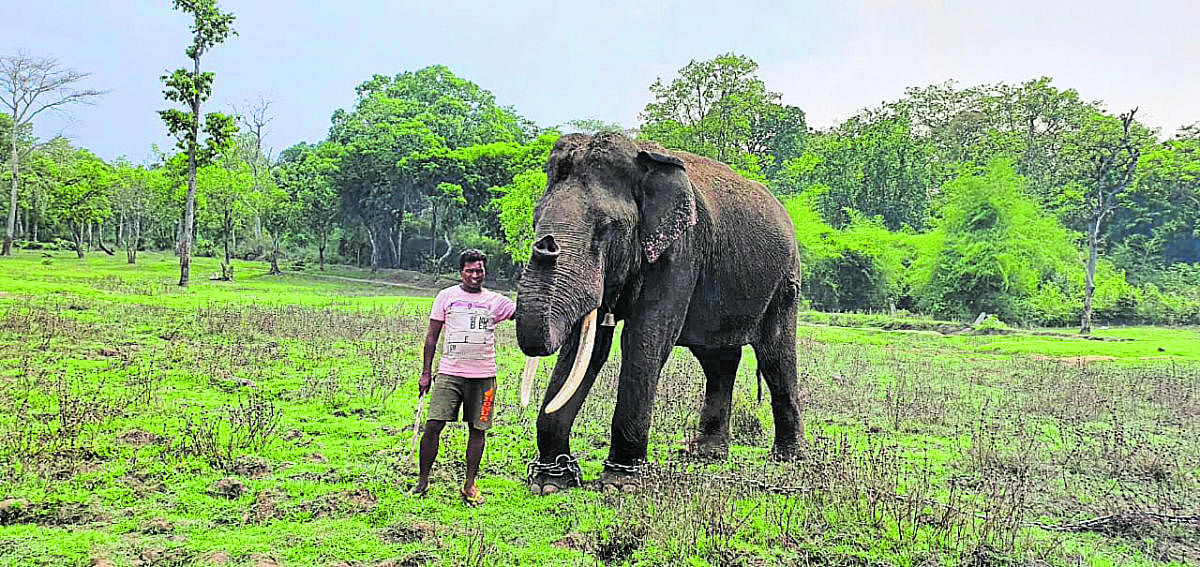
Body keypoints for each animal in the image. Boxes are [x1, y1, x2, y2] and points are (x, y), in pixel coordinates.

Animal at [518, 131, 806, 492]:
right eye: (534, 219)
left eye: (606, 228)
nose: (545, 245)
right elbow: (588, 346)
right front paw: (551, 482)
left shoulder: (682, 249)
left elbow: (645, 338)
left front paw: (619, 483)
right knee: (718, 360)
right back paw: (704, 454)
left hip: (784, 286)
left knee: (775, 359)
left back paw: (788, 458)